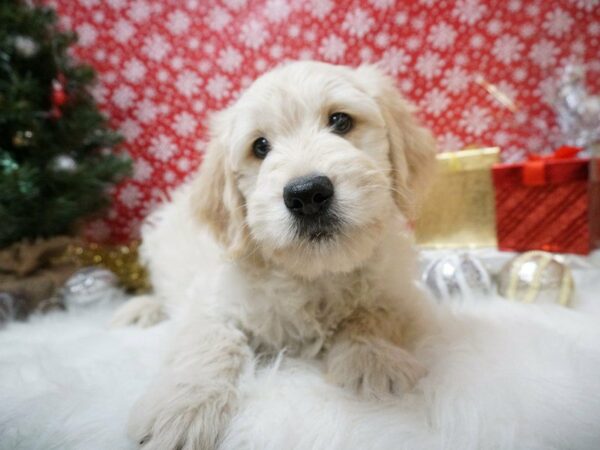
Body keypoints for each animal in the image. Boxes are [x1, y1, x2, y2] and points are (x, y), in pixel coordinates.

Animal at [112, 60, 438, 450]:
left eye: (341, 121)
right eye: (260, 146)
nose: (307, 193)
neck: (314, 274)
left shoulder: (397, 293)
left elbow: (372, 316)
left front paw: (373, 361)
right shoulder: (210, 300)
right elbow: (209, 341)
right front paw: (183, 407)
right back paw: (141, 309)